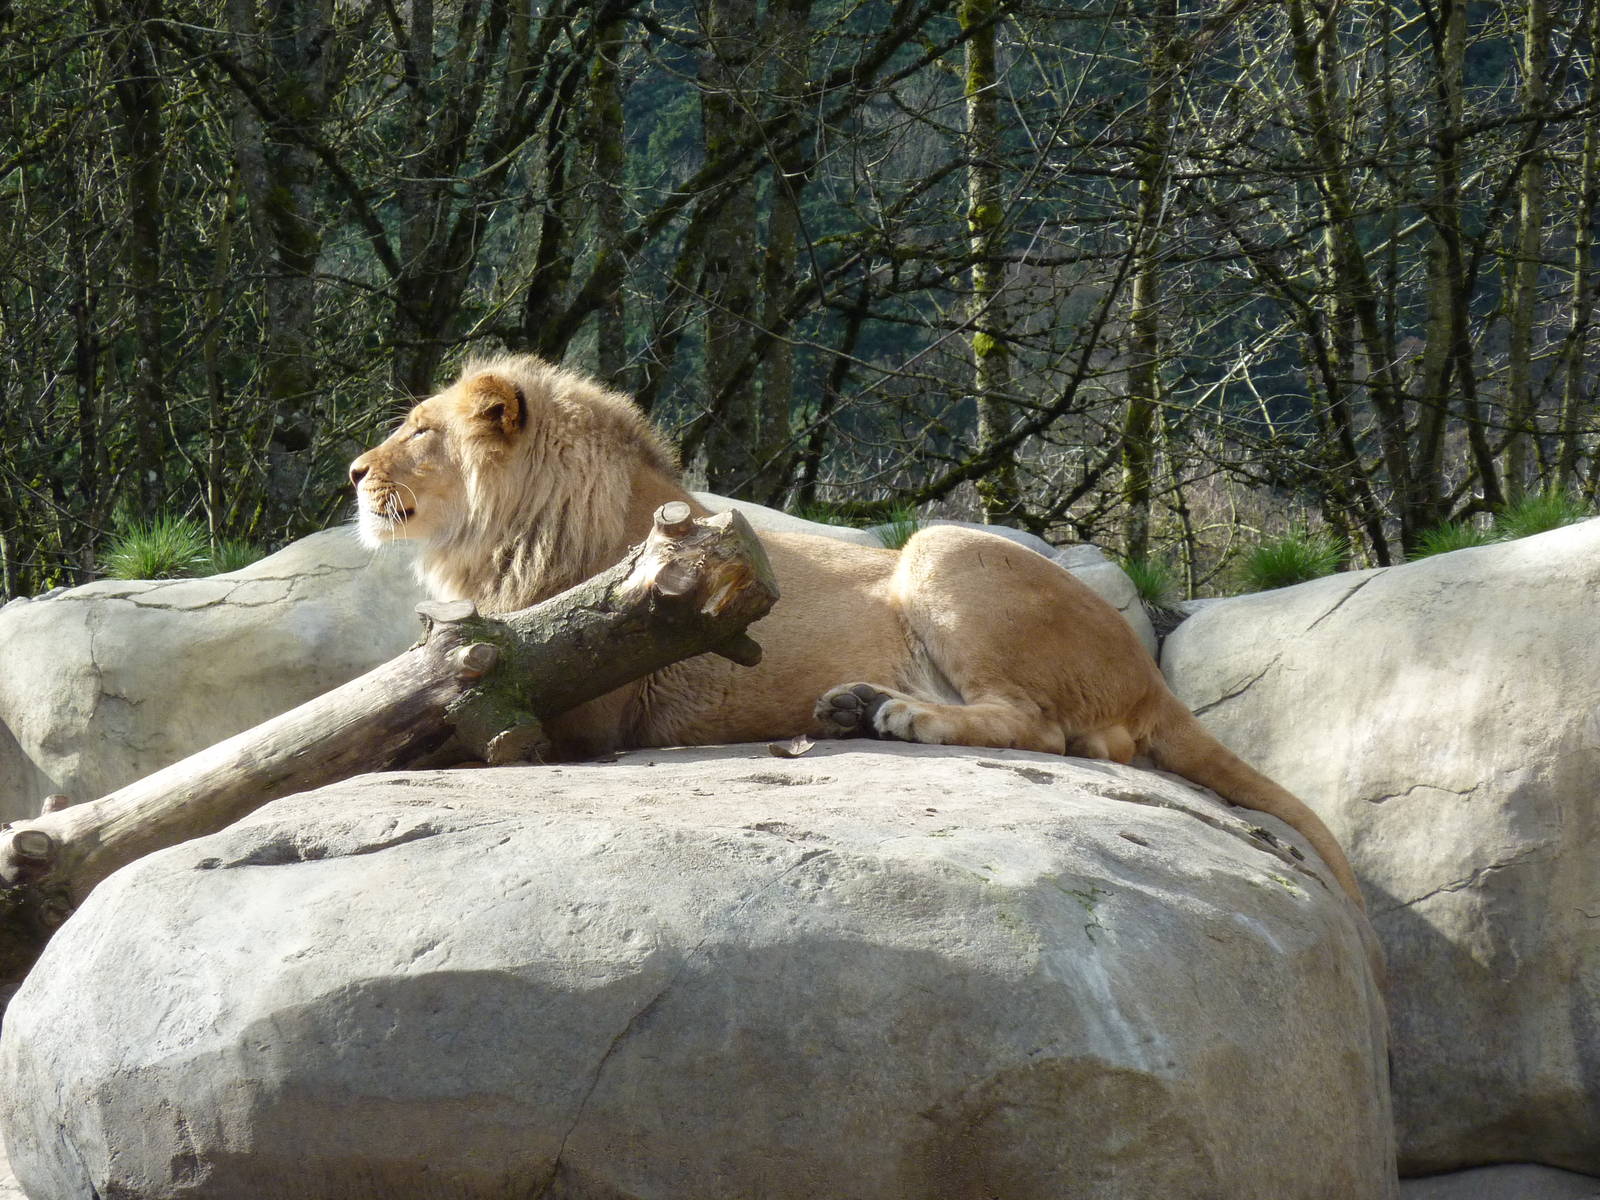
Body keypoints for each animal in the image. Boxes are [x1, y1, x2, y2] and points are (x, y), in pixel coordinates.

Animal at [350, 353, 1364, 908]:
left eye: (419, 431)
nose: (356, 471)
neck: (503, 538)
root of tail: (1152, 675)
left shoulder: (583, 712)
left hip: (943, 547)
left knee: (1042, 726)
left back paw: (896, 716)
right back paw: (854, 705)